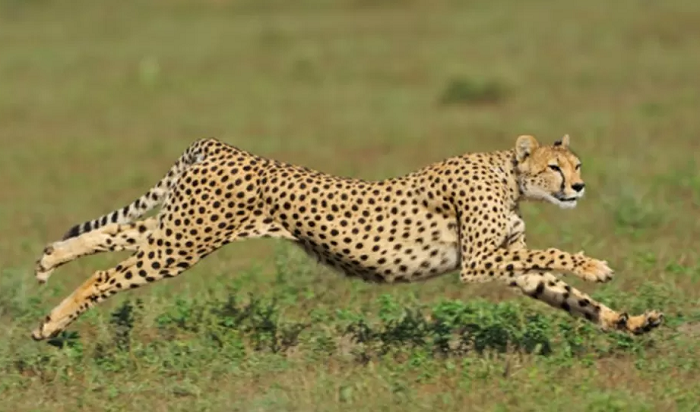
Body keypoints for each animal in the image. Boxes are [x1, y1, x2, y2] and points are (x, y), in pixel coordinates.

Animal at [30, 133, 663, 340]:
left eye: (576, 164)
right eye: (557, 167)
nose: (579, 186)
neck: (510, 176)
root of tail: (220, 145)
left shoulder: (509, 266)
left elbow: (572, 299)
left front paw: (633, 322)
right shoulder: (479, 262)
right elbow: (555, 255)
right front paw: (595, 265)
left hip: (181, 228)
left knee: (114, 235)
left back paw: (47, 261)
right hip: (184, 242)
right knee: (108, 272)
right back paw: (50, 325)